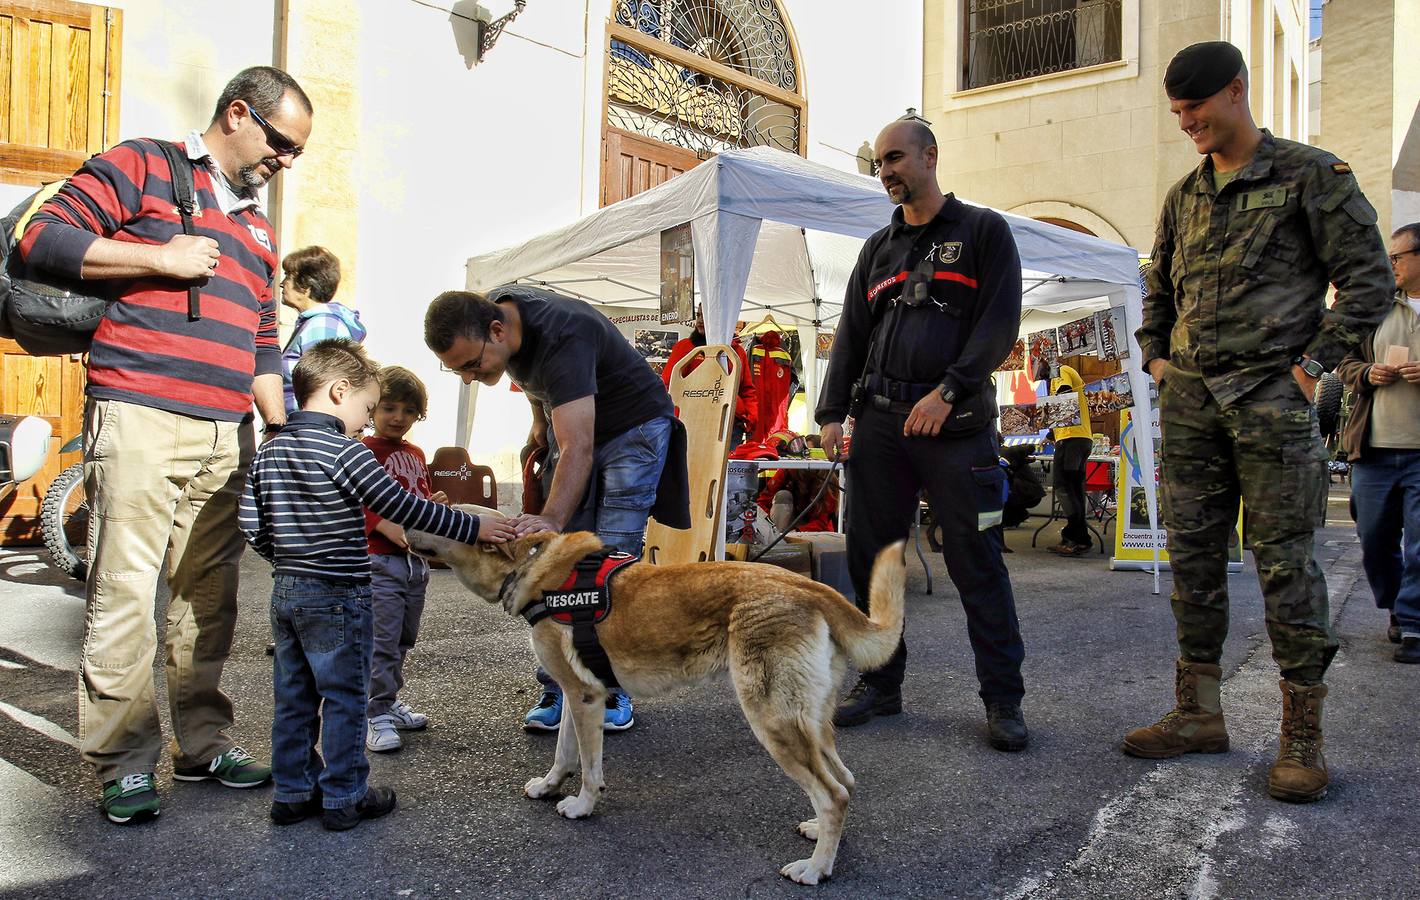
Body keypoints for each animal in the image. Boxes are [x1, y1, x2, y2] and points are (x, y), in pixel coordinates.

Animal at [411, 505, 903, 885]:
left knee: (833, 794)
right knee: (845, 781)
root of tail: (810, 586)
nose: (414, 514)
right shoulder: (577, 694)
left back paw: (816, 868)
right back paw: (820, 835)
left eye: (452, 517)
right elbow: (564, 753)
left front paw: (583, 806)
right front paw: (551, 787)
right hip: (810, 721)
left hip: (773, 721)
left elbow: (589, 767)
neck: (530, 565)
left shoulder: (585, 699)